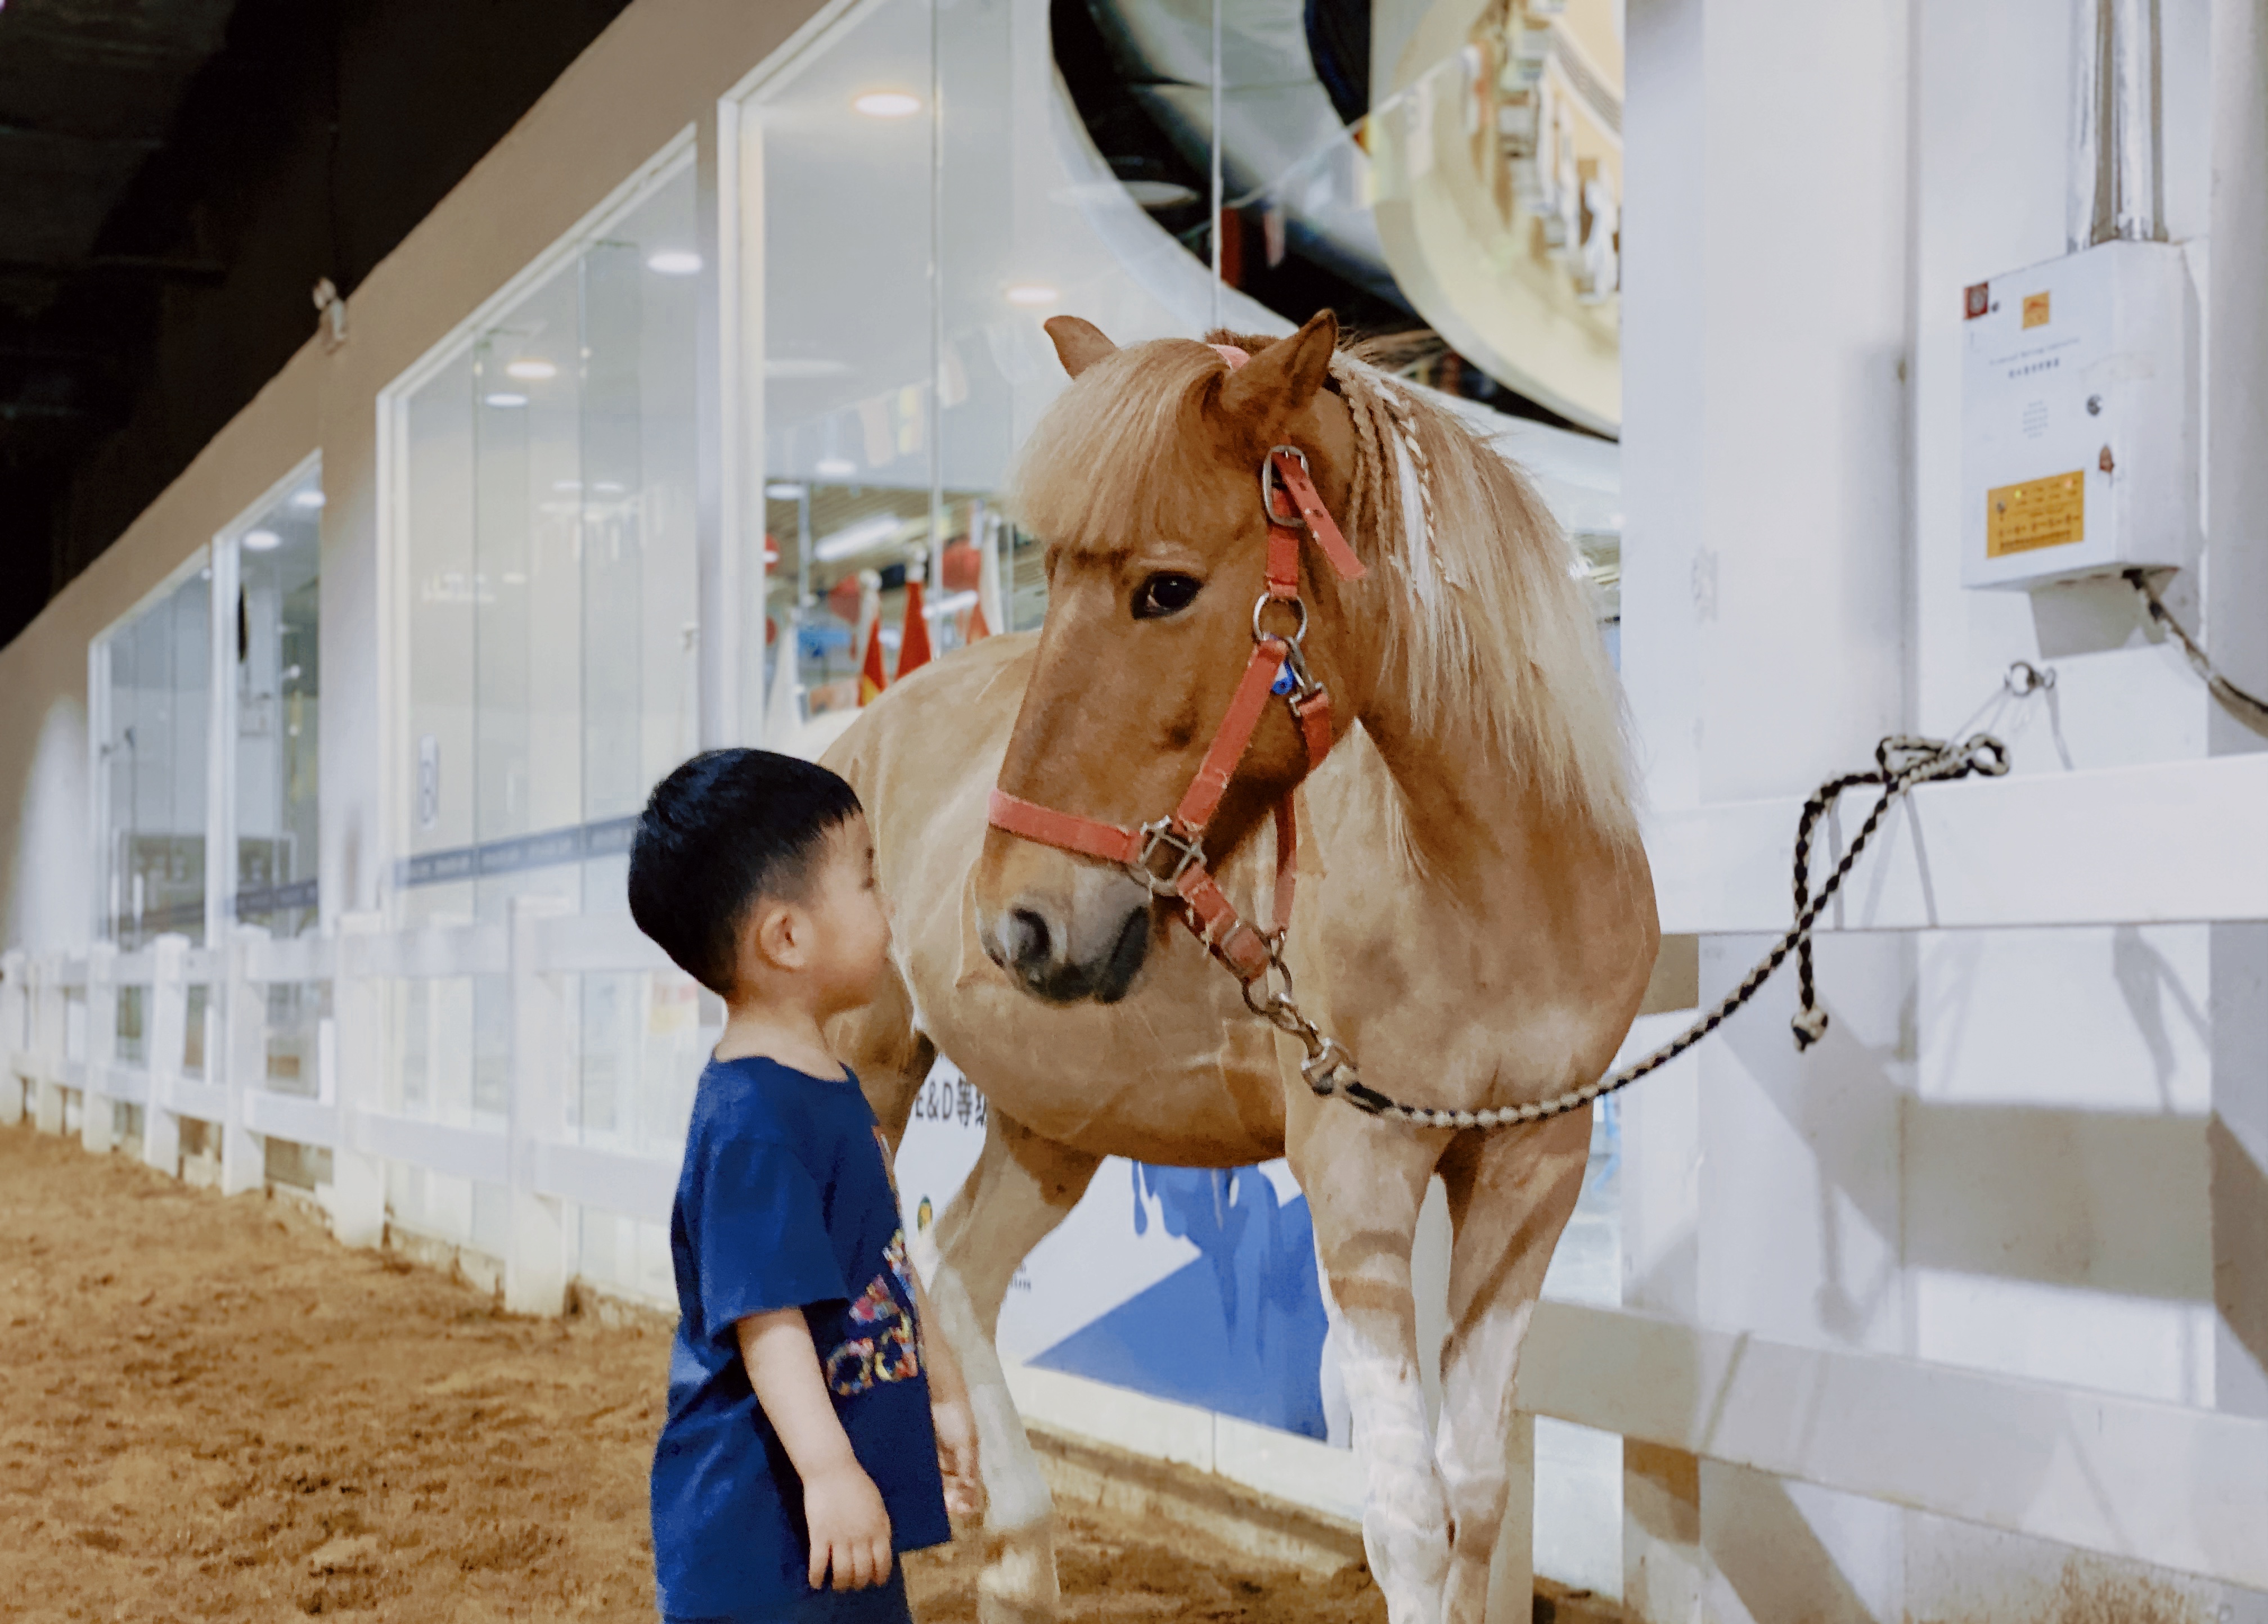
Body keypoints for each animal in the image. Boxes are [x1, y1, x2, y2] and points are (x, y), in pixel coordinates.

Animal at [825, 313, 1660, 1624]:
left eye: (1164, 588)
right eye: (1052, 577)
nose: (1014, 921)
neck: (1489, 888)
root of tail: (860, 730)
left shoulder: (1538, 1160)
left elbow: (1476, 1494)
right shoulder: (1358, 1168)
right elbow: (1407, 1518)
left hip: (1052, 1118)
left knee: (959, 1265)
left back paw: (1019, 1555)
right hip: (864, 1069)